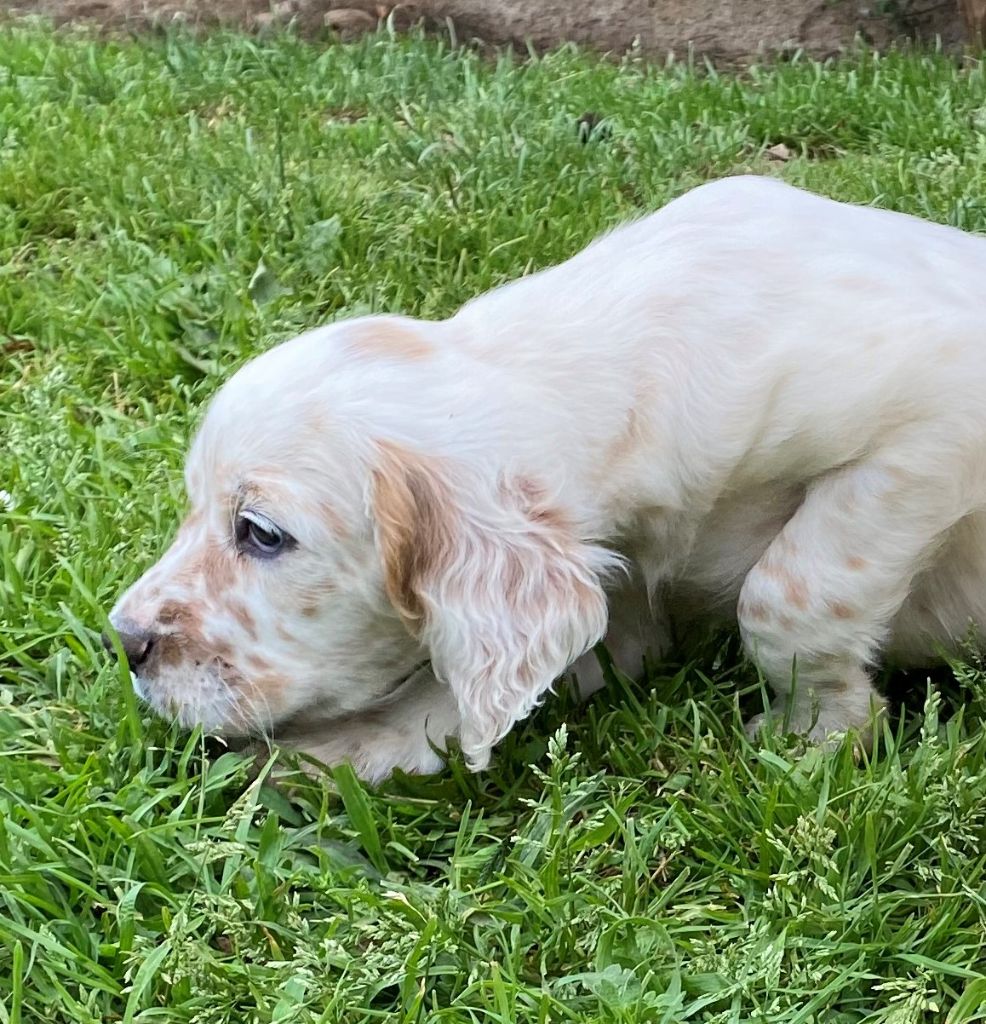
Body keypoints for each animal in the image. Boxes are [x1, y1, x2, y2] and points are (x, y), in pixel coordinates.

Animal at [105, 176, 986, 778]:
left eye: (260, 533)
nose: (127, 643)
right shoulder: (620, 596)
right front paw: (319, 757)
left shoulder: (933, 423)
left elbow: (788, 594)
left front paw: (820, 735)